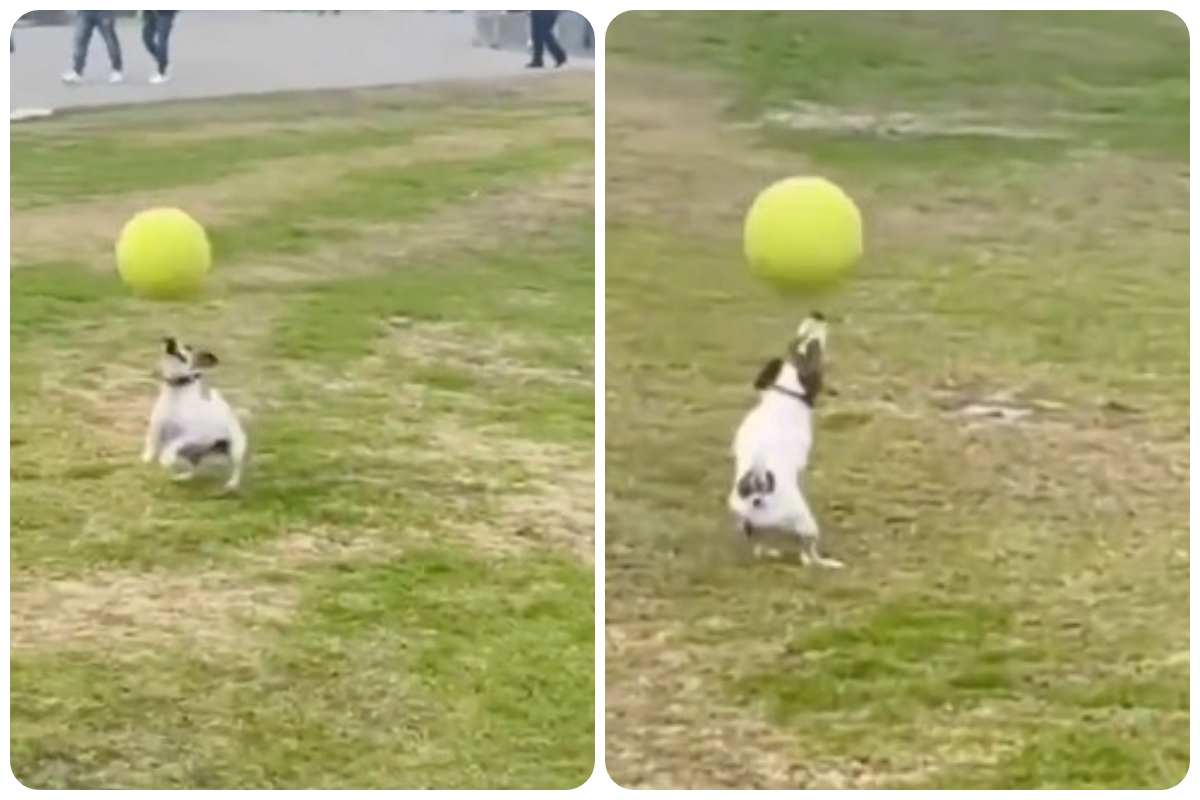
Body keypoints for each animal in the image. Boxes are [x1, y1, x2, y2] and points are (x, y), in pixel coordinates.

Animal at [141, 335, 248, 491]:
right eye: (171, 340)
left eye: (188, 347)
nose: (170, 340)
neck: (176, 392)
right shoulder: (156, 426)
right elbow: (151, 440)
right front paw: (147, 456)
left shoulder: (194, 435)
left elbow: (174, 442)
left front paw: (166, 457)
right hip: (190, 454)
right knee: (194, 466)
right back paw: (182, 477)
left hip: (235, 449)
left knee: (237, 468)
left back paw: (232, 483)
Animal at [720, 311, 844, 568]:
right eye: (814, 346)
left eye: (797, 342)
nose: (817, 314)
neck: (784, 394)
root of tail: (758, 495)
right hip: (807, 525)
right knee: (808, 555)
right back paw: (828, 563)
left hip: (754, 527)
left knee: (761, 546)